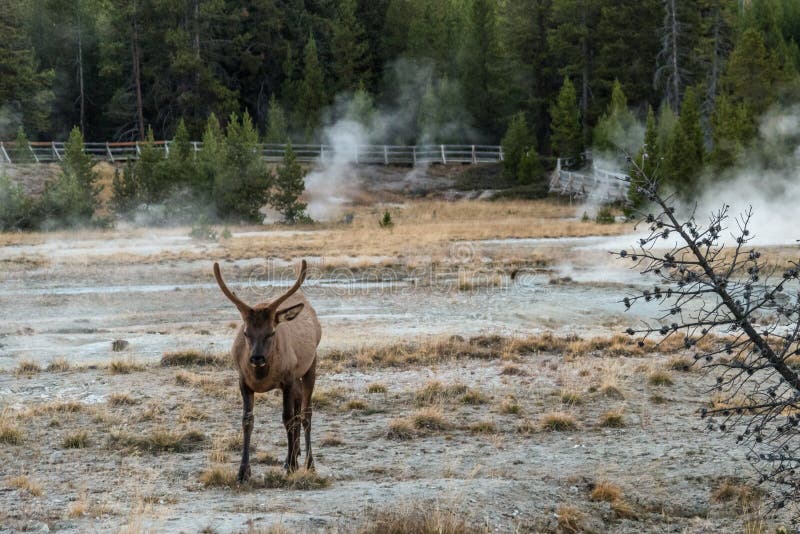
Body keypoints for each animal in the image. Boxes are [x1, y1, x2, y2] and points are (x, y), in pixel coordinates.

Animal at [216, 260, 324, 482]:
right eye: (246, 332)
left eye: (271, 332)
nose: (257, 358)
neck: (261, 377)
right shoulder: (243, 381)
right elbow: (247, 420)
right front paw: (243, 471)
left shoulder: (288, 379)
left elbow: (288, 418)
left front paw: (291, 466)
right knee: (299, 406)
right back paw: (296, 454)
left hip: (311, 364)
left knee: (306, 413)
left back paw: (308, 462)